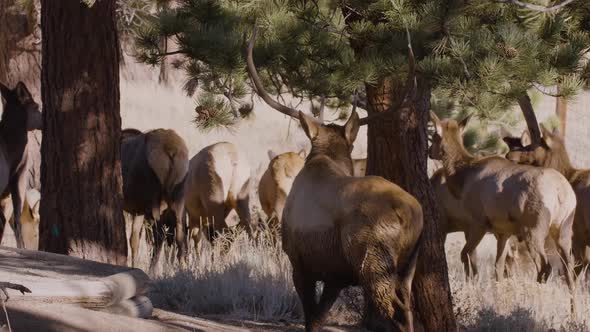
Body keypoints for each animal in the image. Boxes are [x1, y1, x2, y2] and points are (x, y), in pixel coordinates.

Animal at [122, 128, 190, 272]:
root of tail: (171, 150)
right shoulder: (139, 210)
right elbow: (134, 240)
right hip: (179, 197)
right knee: (180, 234)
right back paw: (183, 268)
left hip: (155, 199)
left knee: (159, 236)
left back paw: (152, 270)